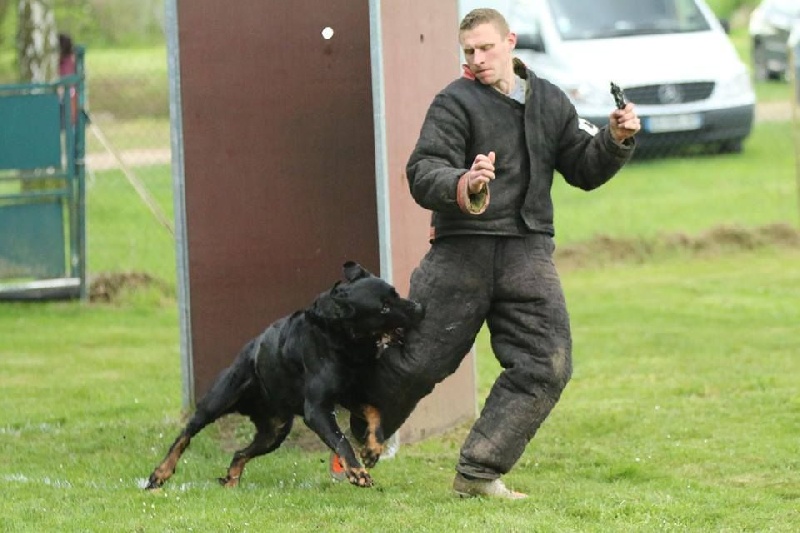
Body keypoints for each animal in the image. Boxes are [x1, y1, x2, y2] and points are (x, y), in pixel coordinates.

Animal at [148, 260, 424, 488]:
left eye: (395, 294)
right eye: (384, 307)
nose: (420, 307)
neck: (343, 342)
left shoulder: (349, 395)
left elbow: (375, 412)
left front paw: (372, 450)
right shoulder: (317, 409)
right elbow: (341, 440)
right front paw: (357, 471)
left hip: (275, 432)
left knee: (239, 453)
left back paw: (231, 481)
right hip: (217, 401)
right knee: (185, 435)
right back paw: (160, 473)